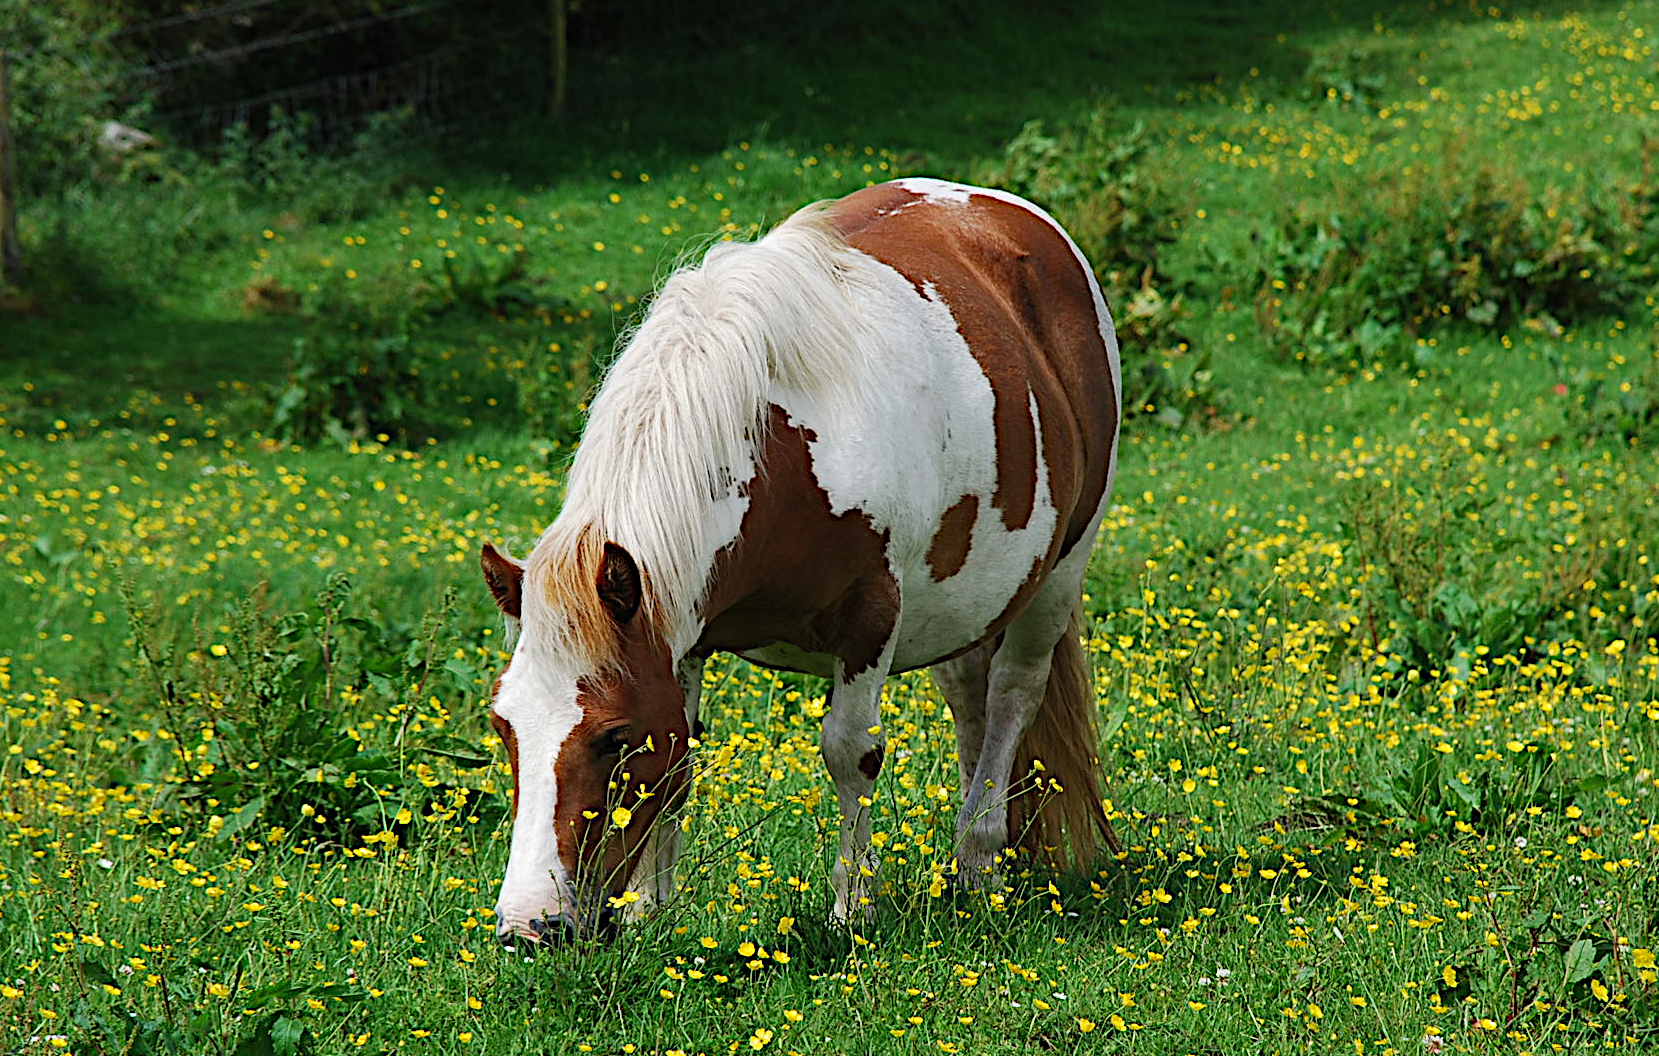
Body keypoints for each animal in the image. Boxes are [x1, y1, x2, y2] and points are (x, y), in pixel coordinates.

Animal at [480, 177, 1121, 944]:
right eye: (504, 725)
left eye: (613, 737)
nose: (529, 926)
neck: (772, 446)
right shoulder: (679, 636)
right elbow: (681, 762)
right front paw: (649, 909)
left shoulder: (871, 620)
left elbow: (851, 752)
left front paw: (853, 909)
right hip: (966, 595)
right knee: (970, 697)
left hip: (1057, 574)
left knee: (1011, 696)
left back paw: (978, 856)